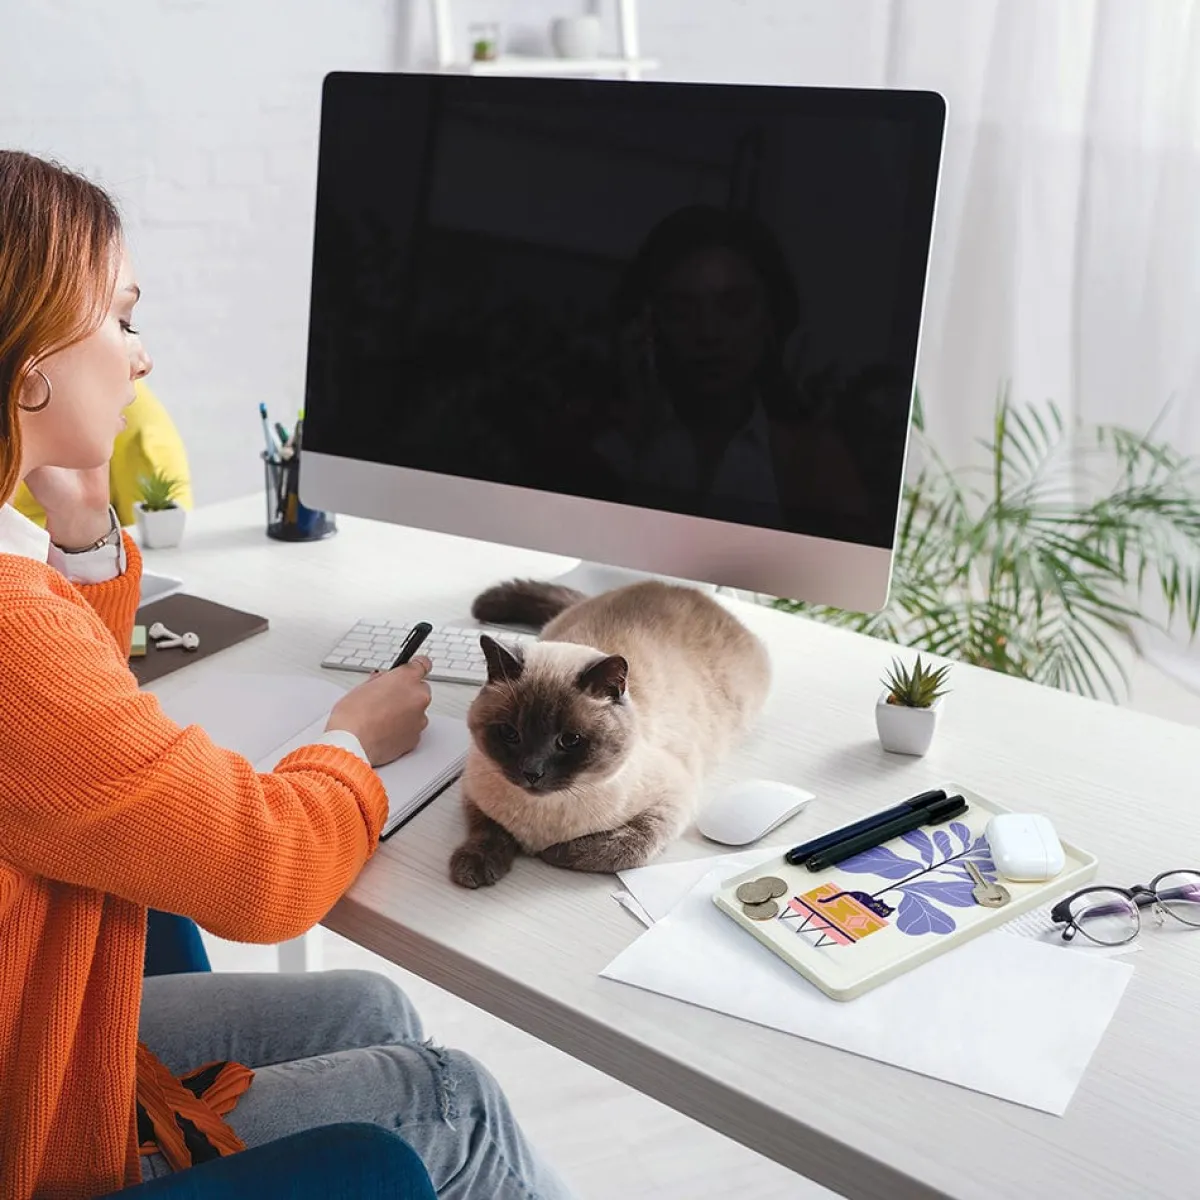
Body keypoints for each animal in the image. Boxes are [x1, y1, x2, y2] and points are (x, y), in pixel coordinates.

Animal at [448, 576, 768, 888]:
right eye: (510, 733)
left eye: (569, 740)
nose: (532, 772)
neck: (541, 815)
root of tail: (678, 587)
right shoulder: (473, 791)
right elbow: (488, 830)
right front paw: (474, 866)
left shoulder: (670, 802)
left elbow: (616, 848)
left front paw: (549, 853)